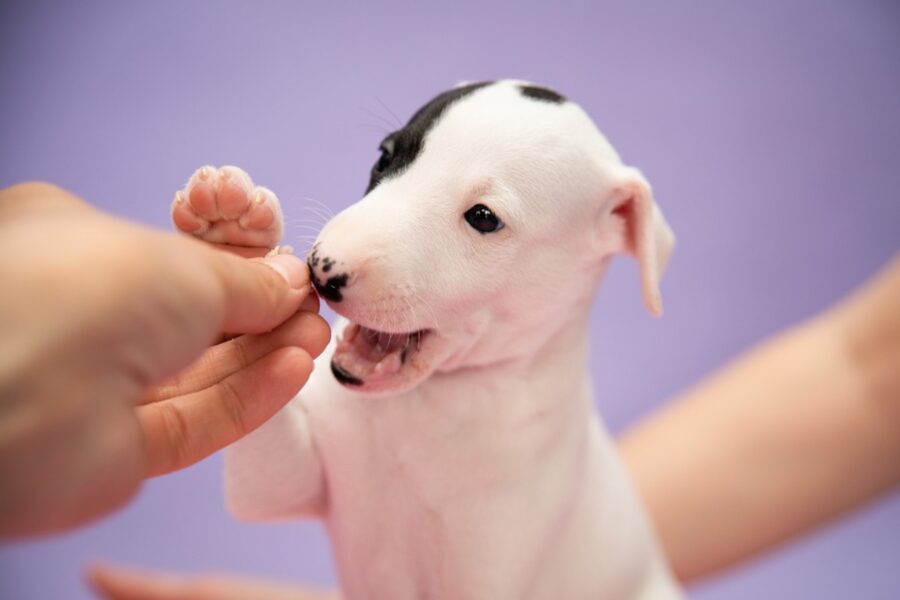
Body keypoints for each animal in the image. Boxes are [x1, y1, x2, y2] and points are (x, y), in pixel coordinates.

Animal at [176, 81, 684, 600]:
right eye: (385, 155)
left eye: (484, 217)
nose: (321, 272)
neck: (419, 410)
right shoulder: (291, 476)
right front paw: (231, 229)